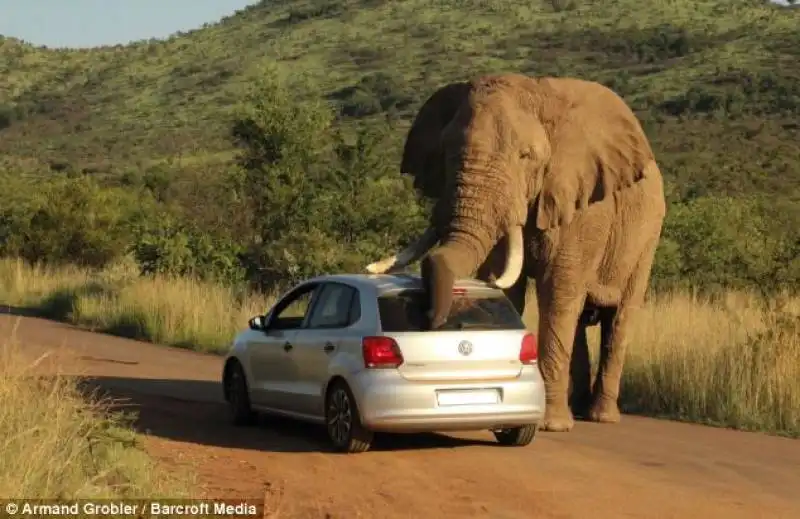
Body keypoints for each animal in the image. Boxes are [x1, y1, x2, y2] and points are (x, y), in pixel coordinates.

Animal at [366, 72, 664, 430]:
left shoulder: (583, 207)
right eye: (446, 152)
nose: (429, 320)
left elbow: (557, 293)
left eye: (525, 156)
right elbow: (510, 287)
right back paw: (577, 409)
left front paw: (550, 425)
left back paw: (600, 417)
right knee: (579, 318)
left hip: (646, 237)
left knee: (617, 318)